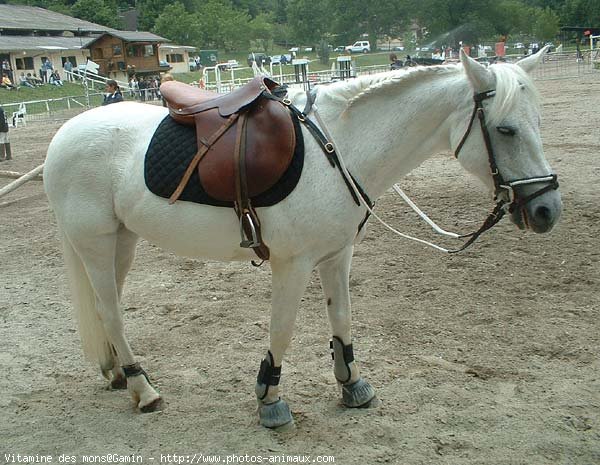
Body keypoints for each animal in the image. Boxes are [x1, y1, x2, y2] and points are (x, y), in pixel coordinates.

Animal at [43, 49, 564, 428]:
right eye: (505, 128)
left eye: (538, 122)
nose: (547, 210)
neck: (338, 148)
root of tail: (64, 134)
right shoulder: (291, 264)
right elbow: (283, 330)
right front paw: (270, 398)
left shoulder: (337, 255)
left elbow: (343, 319)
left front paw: (352, 384)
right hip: (95, 243)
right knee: (111, 312)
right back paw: (143, 388)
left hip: (122, 242)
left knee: (105, 307)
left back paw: (117, 373)